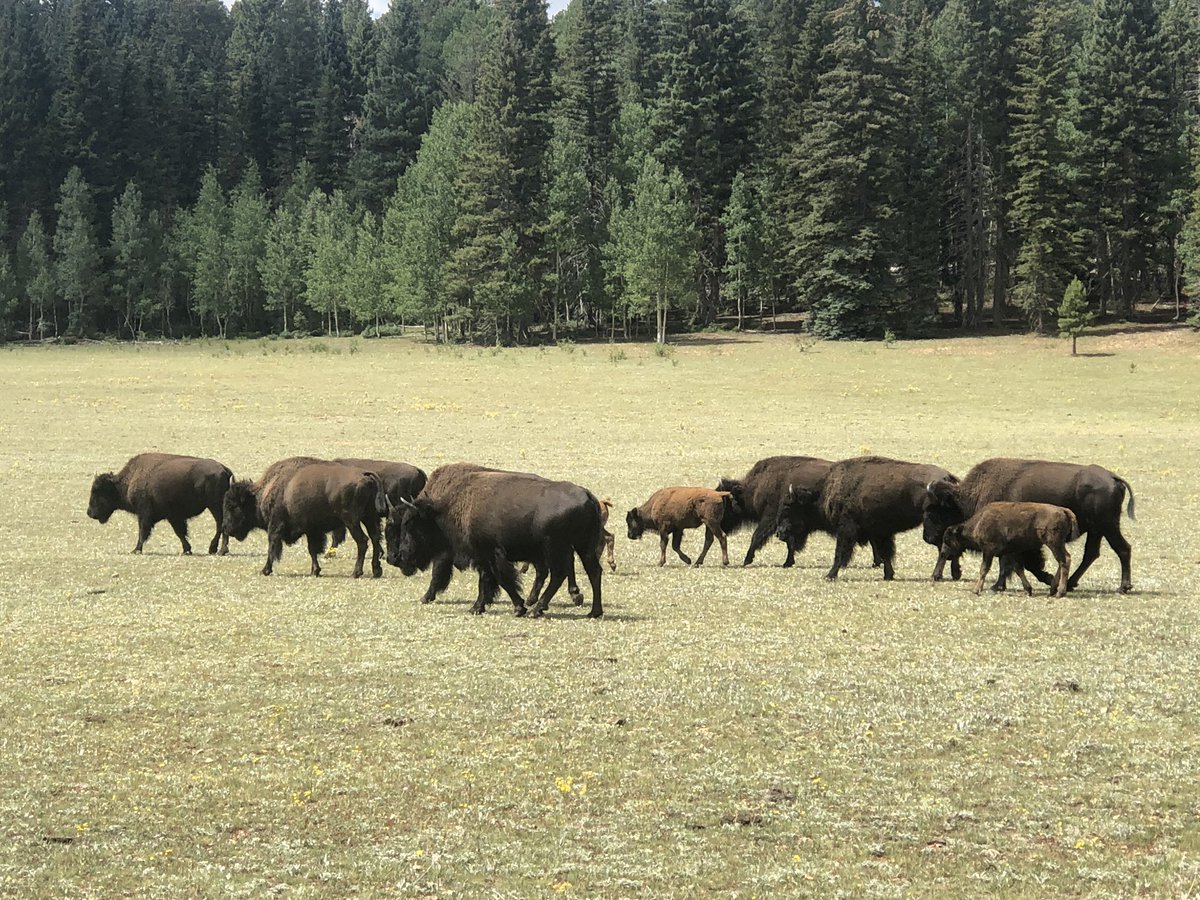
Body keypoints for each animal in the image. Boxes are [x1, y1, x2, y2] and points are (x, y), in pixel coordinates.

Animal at [87, 452, 233, 555]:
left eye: (97, 491)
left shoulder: (144, 514)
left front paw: (136, 550)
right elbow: (180, 532)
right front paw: (187, 550)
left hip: (215, 506)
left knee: (221, 525)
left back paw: (219, 550)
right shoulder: (173, 516)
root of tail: (224, 469)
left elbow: (143, 531)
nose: (89, 513)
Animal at [776, 455, 959, 580]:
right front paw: (888, 575)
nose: (780, 533)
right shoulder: (880, 532)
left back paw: (938, 575)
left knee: (944, 547)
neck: (825, 492)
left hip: (933, 528)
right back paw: (954, 573)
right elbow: (885, 553)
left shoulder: (847, 529)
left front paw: (830, 575)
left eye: (788, 507)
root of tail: (947, 477)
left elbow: (840, 553)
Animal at [923, 458, 1134, 593]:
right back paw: (1071, 583)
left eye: (934, 510)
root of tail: (1113, 477)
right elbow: (1016, 563)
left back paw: (1123, 587)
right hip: (1096, 530)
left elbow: (1011, 562)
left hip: (1108, 526)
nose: (928, 537)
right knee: (1091, 553)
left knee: (1122, 549)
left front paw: (998, 586)